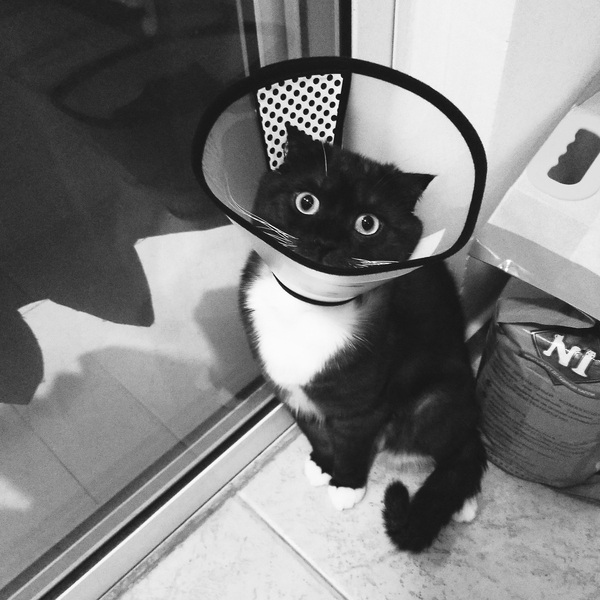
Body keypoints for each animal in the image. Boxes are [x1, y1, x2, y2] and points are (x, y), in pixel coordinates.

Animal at [238, 124, 487, 552]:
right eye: (307, 202)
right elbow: (314, 429)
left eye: (367, 224)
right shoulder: (287, 386)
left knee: (463, 444)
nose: (325, 242)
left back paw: (461, 504)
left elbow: (352, 442)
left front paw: (346, 485)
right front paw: (322, 464)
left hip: (434, 400)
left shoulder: (365, 401)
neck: (306, 305)